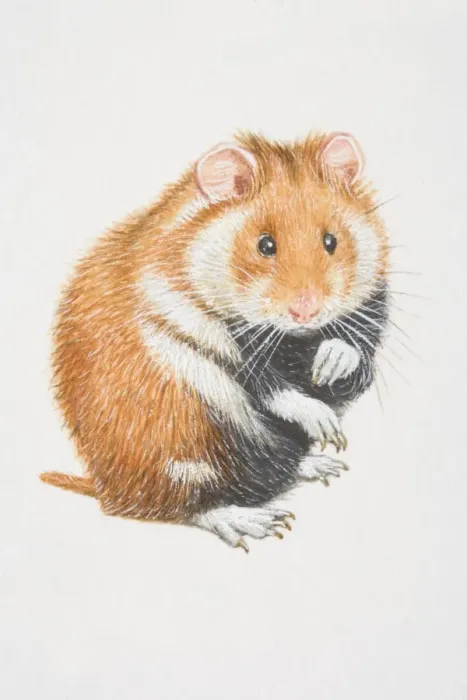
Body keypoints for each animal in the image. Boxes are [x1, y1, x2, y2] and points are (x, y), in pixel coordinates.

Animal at [41, 131, 390, 551]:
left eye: (331, 241)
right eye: (265, 245)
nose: (306, 311)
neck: (292, 342)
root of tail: (104, 484)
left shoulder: (372, 306)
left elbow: (357, 345)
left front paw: (331, 366)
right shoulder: (199, 329)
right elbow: (268, 385)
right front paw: (326, 426)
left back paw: (322, 465)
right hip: (182, 449)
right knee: (182, 505)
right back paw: (258, 521)